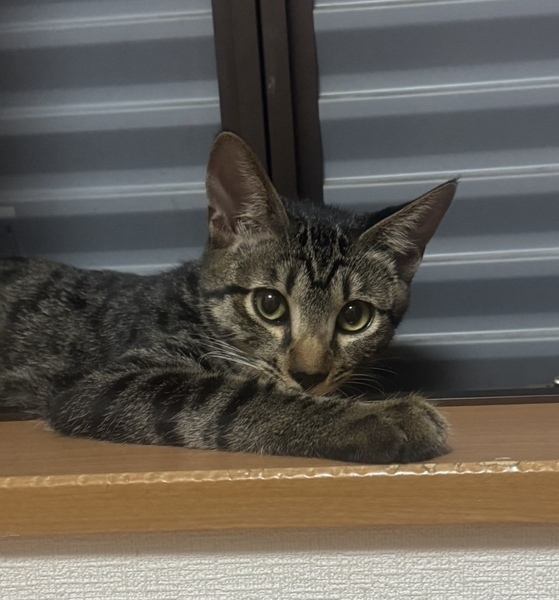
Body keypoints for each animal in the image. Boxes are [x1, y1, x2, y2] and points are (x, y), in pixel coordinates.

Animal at [0, 132, 457, 464]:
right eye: (270, 305)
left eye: (353, 316)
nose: (309, 375)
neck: (195, 305)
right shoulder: (100, 386)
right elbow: (230, 396)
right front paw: (378, 416)